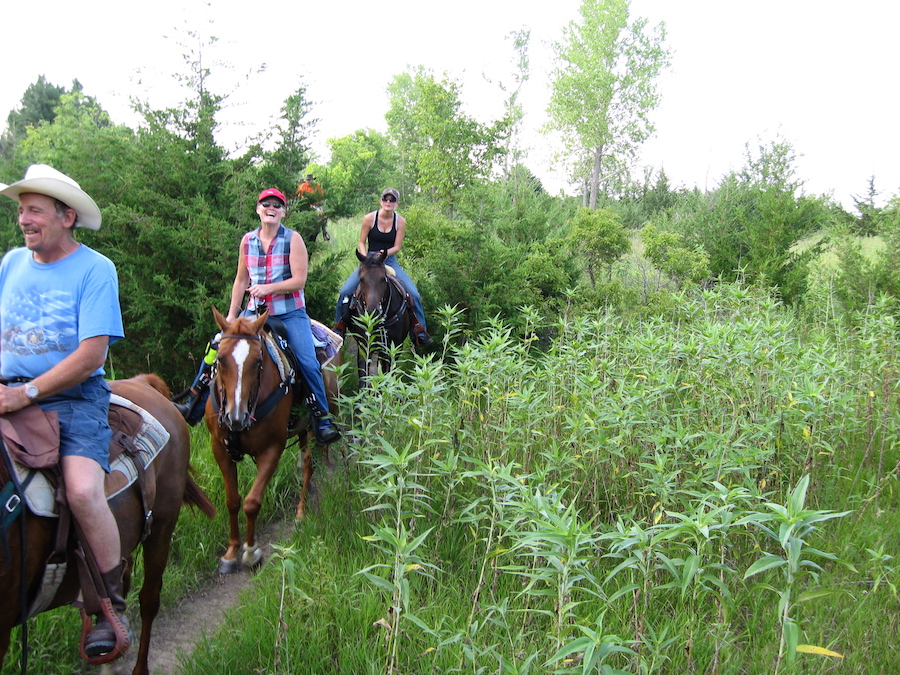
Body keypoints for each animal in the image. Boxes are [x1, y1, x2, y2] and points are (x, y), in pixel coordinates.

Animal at [206, 306, 342, 576]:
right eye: (220, 359)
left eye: (258, 362)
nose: (235, 417)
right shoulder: (220, 450)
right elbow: (232, 501)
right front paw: (230, 553)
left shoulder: (271, 449)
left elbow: (251, 502)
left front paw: (251, 553)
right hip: (301, 428)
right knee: (303, 455)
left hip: (319, 421)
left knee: (310, 463)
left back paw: (301, 512)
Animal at [350, 250, 414, 386]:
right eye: (361, 279)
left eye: (383, 279)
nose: (372, 312)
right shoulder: (364, 347)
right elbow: (363, 377)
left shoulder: (393, 348)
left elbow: (388, 374)